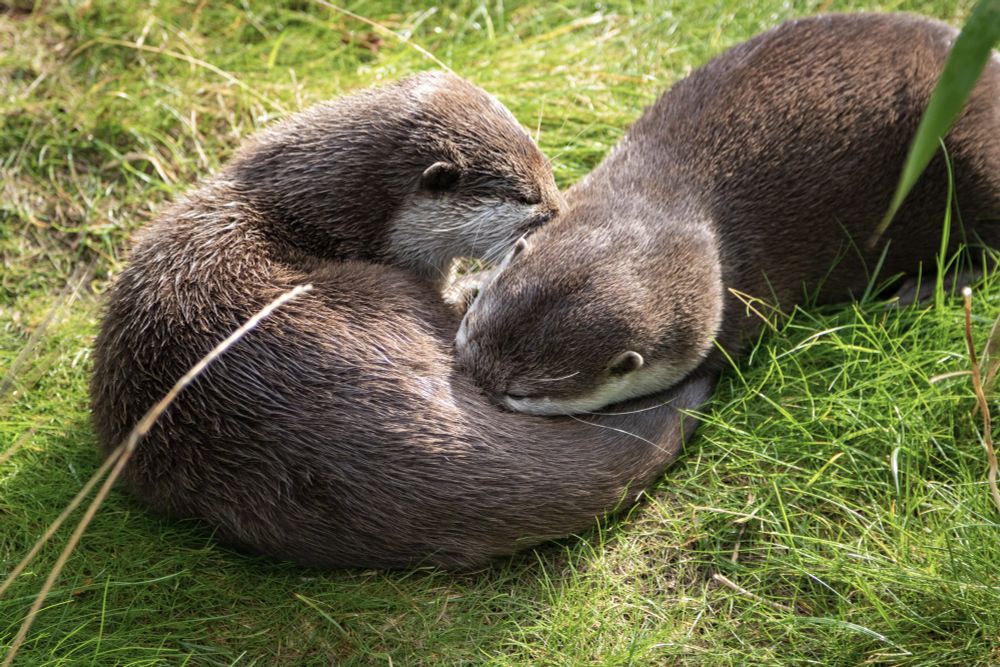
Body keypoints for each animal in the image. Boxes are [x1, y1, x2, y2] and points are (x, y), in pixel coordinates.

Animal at [456, 13, 1000, 416]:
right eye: (471, 330)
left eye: (521, 393)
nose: (472, 378)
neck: (665, 197)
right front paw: (468, 280)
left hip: (974, 157)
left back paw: (921, 290)